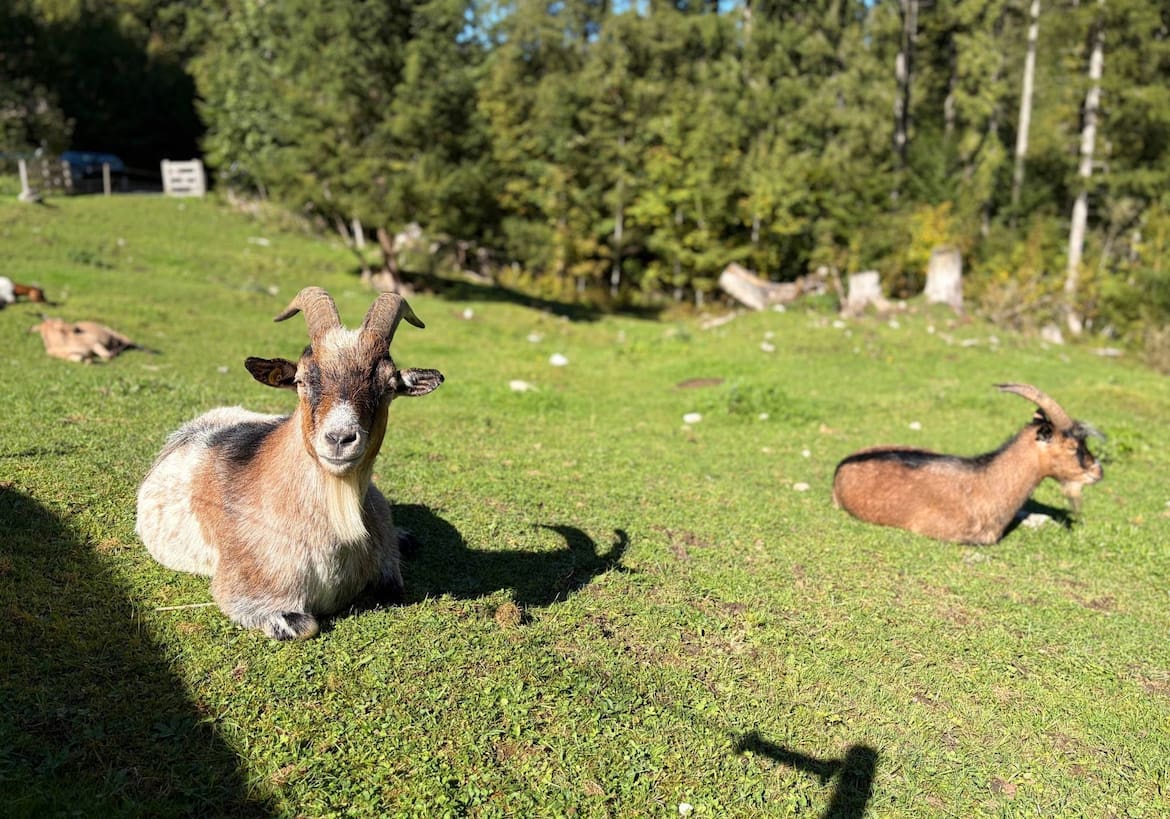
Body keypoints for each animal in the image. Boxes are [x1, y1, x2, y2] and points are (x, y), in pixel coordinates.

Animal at [135, 287, 444, 639]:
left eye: (390, 385)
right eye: (301, 380)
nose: (339, 438)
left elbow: (390, 587)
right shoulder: (249, 595)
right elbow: (307, 624)